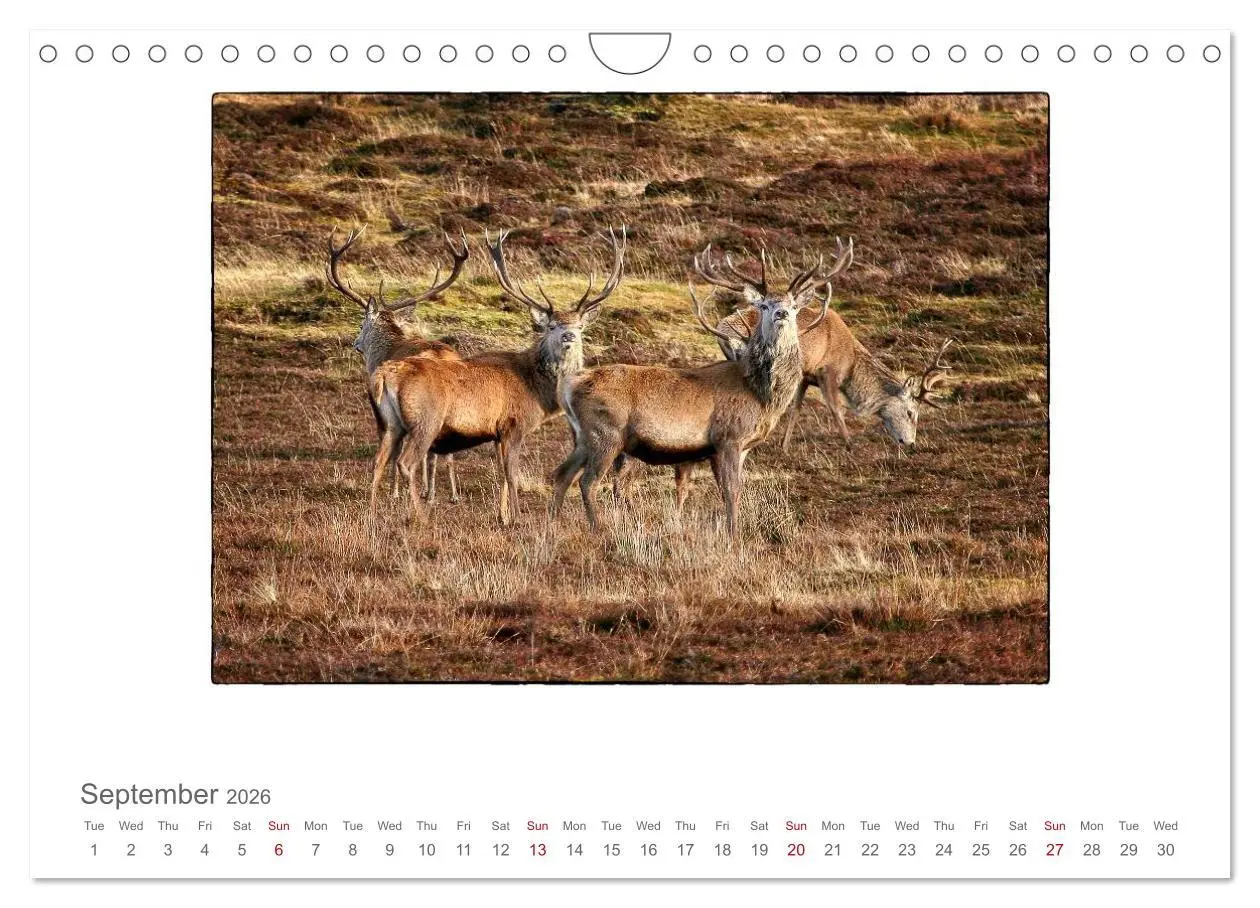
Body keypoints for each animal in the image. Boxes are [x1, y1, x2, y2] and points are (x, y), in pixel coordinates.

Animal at [326, 225, 469, 502]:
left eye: (361, 324)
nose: (356, 344)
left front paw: (395, 491)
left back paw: (427, 493)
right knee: (444, 450)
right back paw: (451, 493)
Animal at [370, 227, 627, 524]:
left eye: (580, 325)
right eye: (551, 325)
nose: (569, 336)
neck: (537, 392)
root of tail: (386, 375)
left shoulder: (497, 432)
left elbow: (502, 475)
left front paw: (502, 516)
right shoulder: (514, 424)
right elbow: (511, 474)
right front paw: (517, 517)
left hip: (391, 423)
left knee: (378, 461)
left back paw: (375, 513)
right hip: (425, 421)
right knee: (405, 462)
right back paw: (420, 515)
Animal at [550, 242, 848, 538]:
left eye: (794, 305)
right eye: (764, 304)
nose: (781, 313)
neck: (760, 395)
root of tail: (569, 386)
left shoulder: (736, 447)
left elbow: (727, 491)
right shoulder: (728, 437)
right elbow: (731, 490)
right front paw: (733, 534)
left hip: (584, 437)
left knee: (562, 474)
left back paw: (553, 523)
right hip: (606, 434)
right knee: (587, 481)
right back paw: (597, 529)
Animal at [706, 242, 954, 449]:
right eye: (911, 412)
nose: (910, 443)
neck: (850, 364)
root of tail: (722, 326)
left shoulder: (805, 376)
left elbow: (795, 408)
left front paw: (784, 446)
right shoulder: (828, 370)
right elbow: (836, 409)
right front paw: (850, 445)